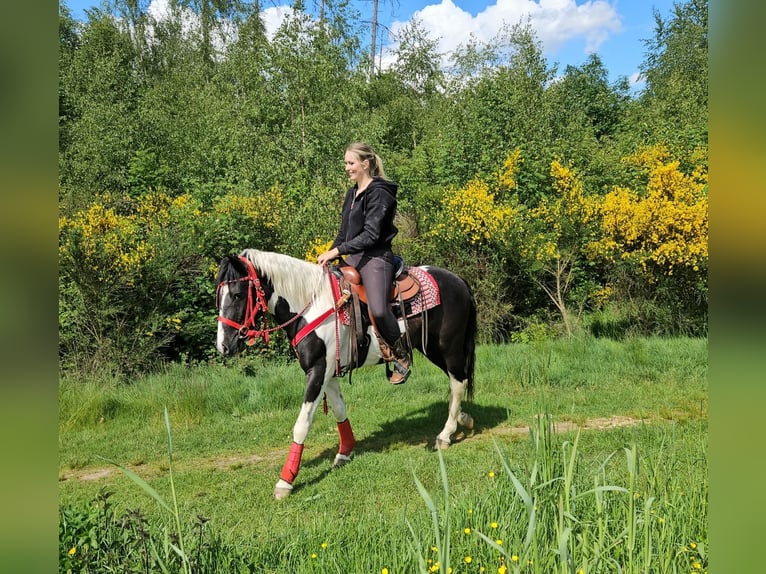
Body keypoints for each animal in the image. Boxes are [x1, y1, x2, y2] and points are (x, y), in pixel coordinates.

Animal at [215, 248, 476, 499]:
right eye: (219, 296)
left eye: (237, 295)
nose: (224, 346)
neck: (311, 305)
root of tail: (459, 281)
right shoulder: (329, 372)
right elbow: (340, 410)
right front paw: (345, 452)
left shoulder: (317, 370)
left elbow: (302, 424)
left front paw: (285, 481)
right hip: (433, 349)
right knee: (457, 381)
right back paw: (463, 418)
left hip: (448, 347)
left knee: (458, 383)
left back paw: (446, 434)